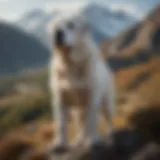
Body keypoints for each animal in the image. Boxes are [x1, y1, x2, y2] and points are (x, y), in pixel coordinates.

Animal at [48, 13, 115, 151]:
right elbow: (61, 124)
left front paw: (93, 141)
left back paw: (110, 135)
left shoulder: (92, 97)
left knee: (108, 120)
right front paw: (60, 143)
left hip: (107, 103)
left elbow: (92, 121)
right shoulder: (60, 99)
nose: (58, 33)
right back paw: (79, 141)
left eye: (71, 25)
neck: (69, 63)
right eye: (55, 26)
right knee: (82, 127)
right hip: (77, 112)